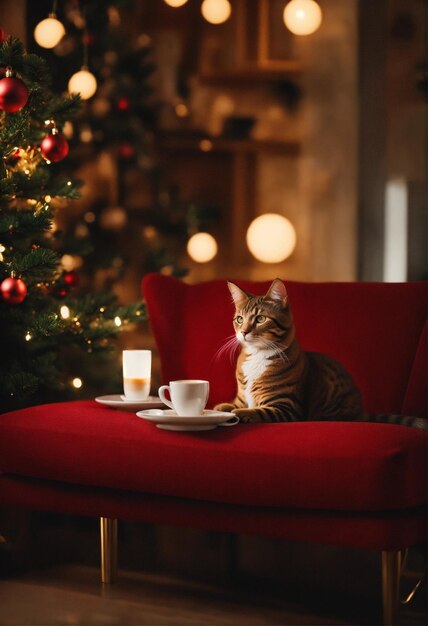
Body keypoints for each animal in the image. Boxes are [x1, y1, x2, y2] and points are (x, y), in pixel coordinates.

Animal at [216, 278, 426, 428]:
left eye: (260, 319)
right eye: (239, 319)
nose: (243, 332)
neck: (257, 354)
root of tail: (361, 413)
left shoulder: (288, 407)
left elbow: (256, 411)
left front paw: (239, 414)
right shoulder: (241, 397)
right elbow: (232, 404)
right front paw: (222, 408)